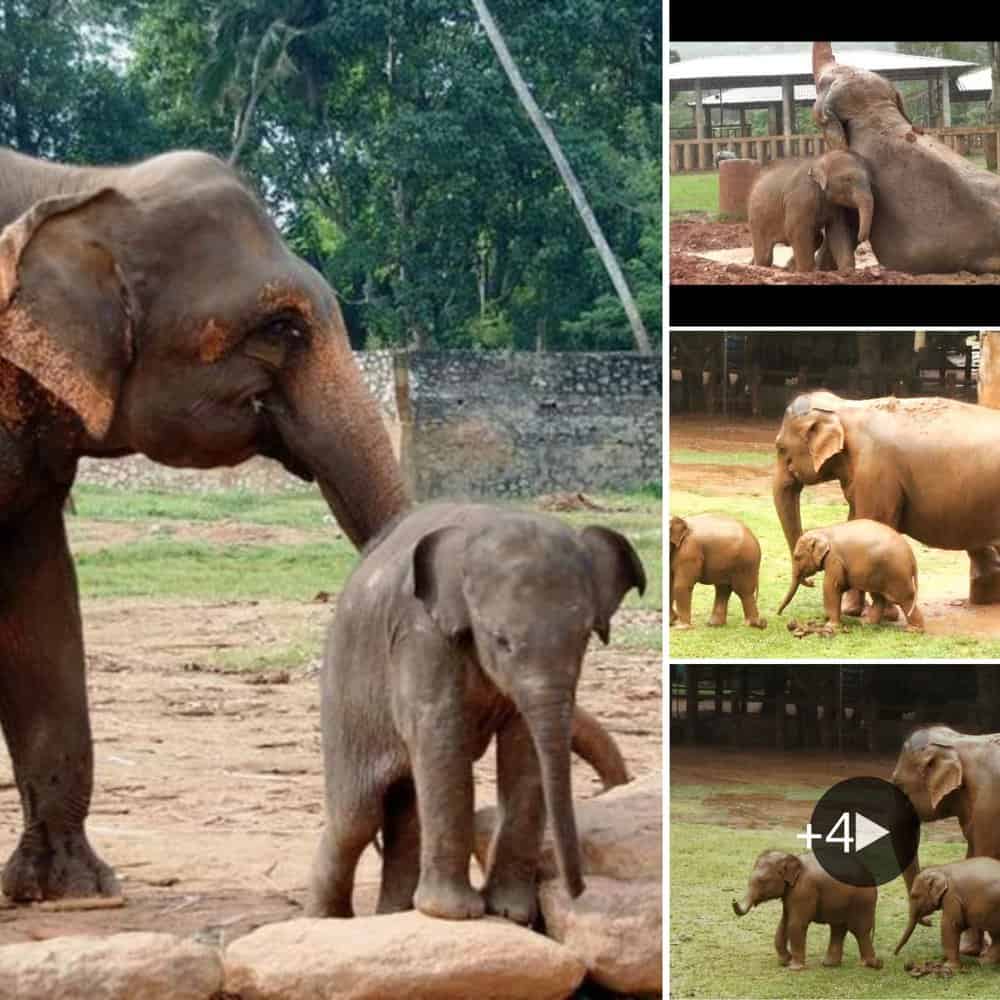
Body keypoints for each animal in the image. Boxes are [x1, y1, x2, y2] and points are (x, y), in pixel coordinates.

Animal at [307, 502, 645, 924]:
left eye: (584, 636)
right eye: (500, 640)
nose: (578, 892)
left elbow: (524, 747)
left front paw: (509, 912)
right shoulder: (422, 634)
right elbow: (442, 732)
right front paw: (455, 914)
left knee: (405, 811)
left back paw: (393, 914)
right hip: (345, 702)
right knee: (356, 818)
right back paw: (326, 921)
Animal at [732, 850, 881, 972]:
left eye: (763, 881)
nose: (733, 900)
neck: (792, 857)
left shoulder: (804, 890)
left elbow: (795, 924)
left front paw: (794, 968)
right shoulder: (790, 895)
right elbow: (784, 923)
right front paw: (785, 962)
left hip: (863, 900)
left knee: (859, 930)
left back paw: (873, 965)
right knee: (838, 928)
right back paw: (830, 964)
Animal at [774, 391, 1000, 612]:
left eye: (780, 448)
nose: (810, 582)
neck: (844, 407)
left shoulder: (874, 471)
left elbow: (873, 521)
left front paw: (860, 611)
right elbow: (856, 520)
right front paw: (861, 610)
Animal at [776, 520, 923, 631]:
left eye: (796, 557)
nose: (778, 614)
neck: (824, 531)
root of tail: (912, 558)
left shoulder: (834, 560)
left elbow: (831, 586)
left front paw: (830, 626)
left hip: (897, 574)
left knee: (905, 599)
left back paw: (914, 630)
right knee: (878, 597)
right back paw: (867, 623)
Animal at [891, 726, 1000, 956]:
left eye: (898, 784)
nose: (929, 921)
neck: (959, 742)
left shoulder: (990, 806)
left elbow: (982, 856)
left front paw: (970, 951)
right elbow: (971, 856)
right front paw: (971, 949)